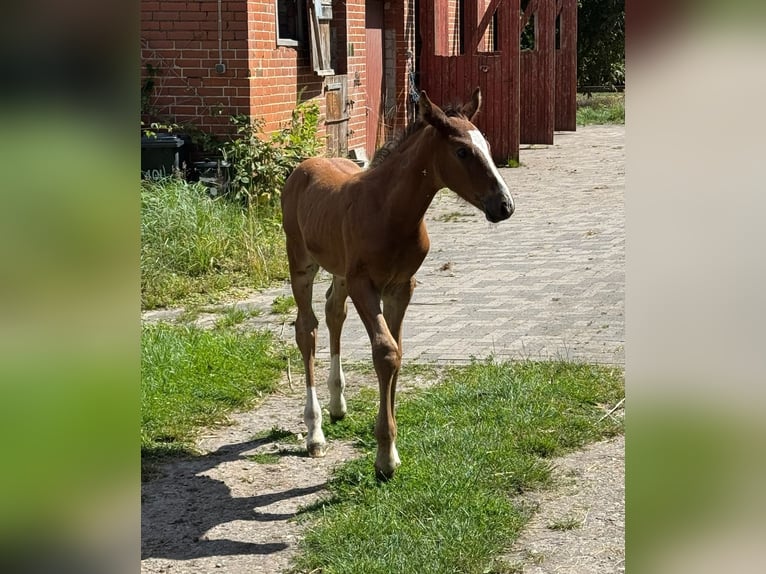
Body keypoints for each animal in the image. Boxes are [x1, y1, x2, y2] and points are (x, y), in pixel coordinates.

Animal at [281, 87, 514, 479]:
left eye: (486, 144)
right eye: (462, 151)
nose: (504, 205)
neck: (389, 211)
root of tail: (304, 166)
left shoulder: (401, 287)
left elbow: (398, 353)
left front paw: (389, 447)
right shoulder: (364, 285)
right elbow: (385, 352)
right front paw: (385, 458)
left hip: (340, 272)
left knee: (333, 313)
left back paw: (337, 404)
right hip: (301, 264)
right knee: (306, 329)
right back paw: (315, 433)